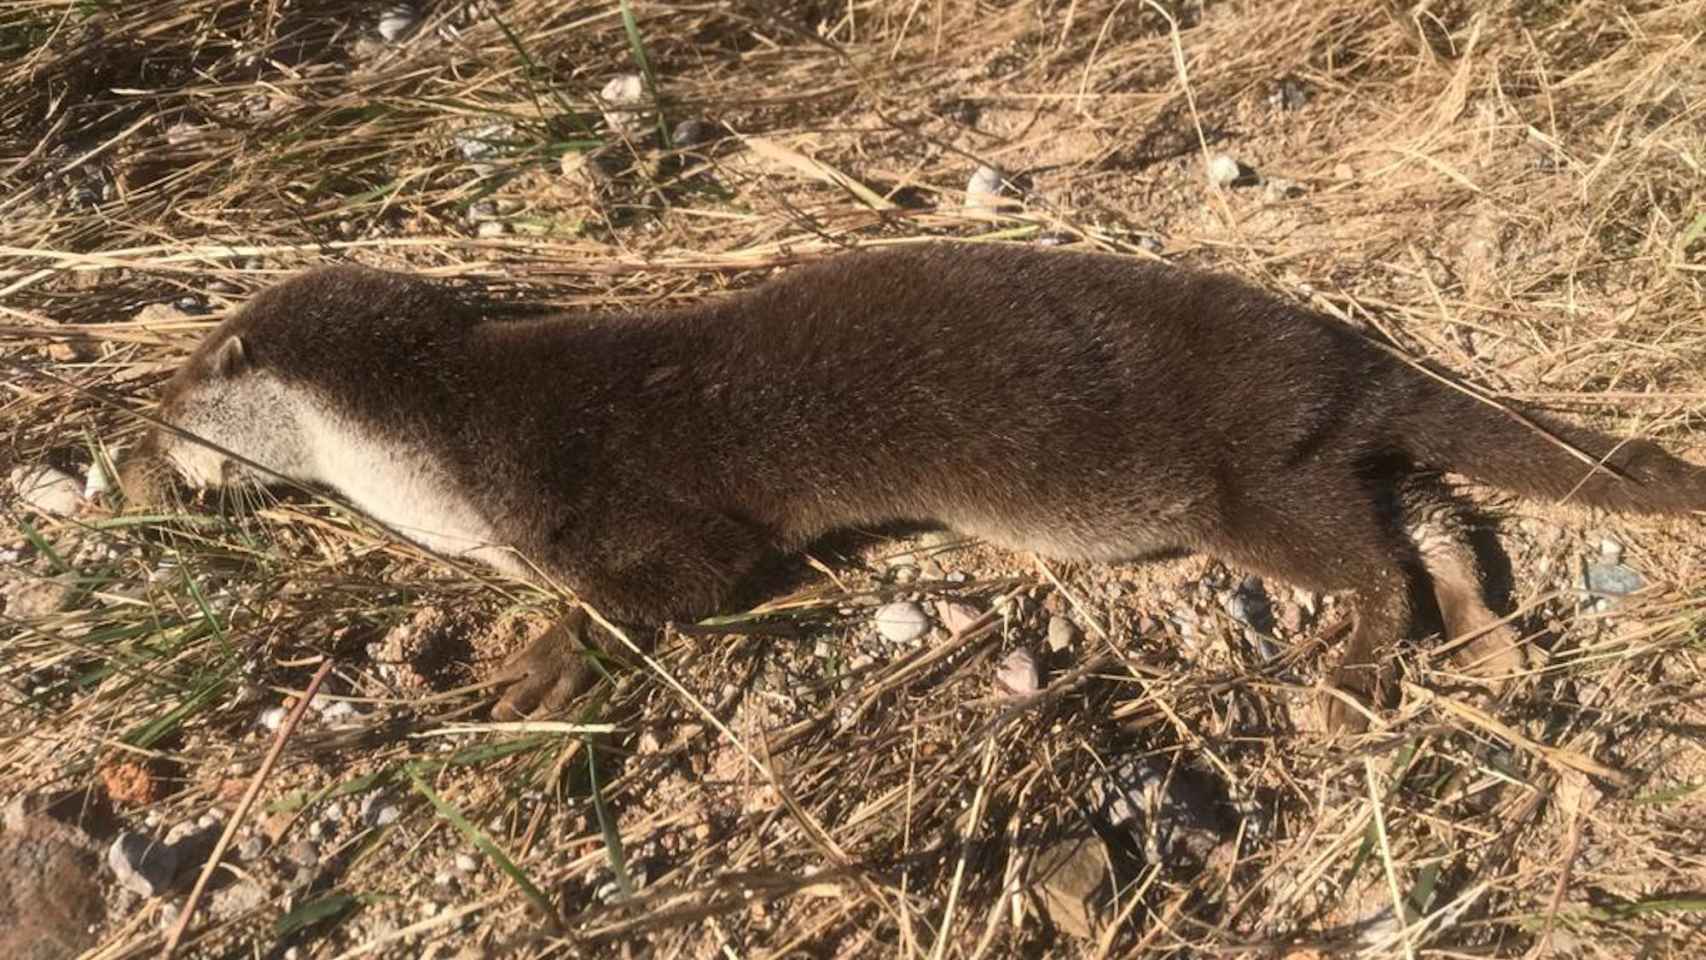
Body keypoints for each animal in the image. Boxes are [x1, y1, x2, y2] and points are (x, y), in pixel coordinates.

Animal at [133, 243, 1706, 733]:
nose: (150, 447)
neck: (452, 438)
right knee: (1431, 509)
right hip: (1316, 457)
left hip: (1244, 478)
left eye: (183, 390)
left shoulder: (603, 489)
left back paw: (1362, 663)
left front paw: (544, 660)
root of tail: (1345, 353)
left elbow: (679, 582)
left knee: (1367, 548)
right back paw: (1487, 639)